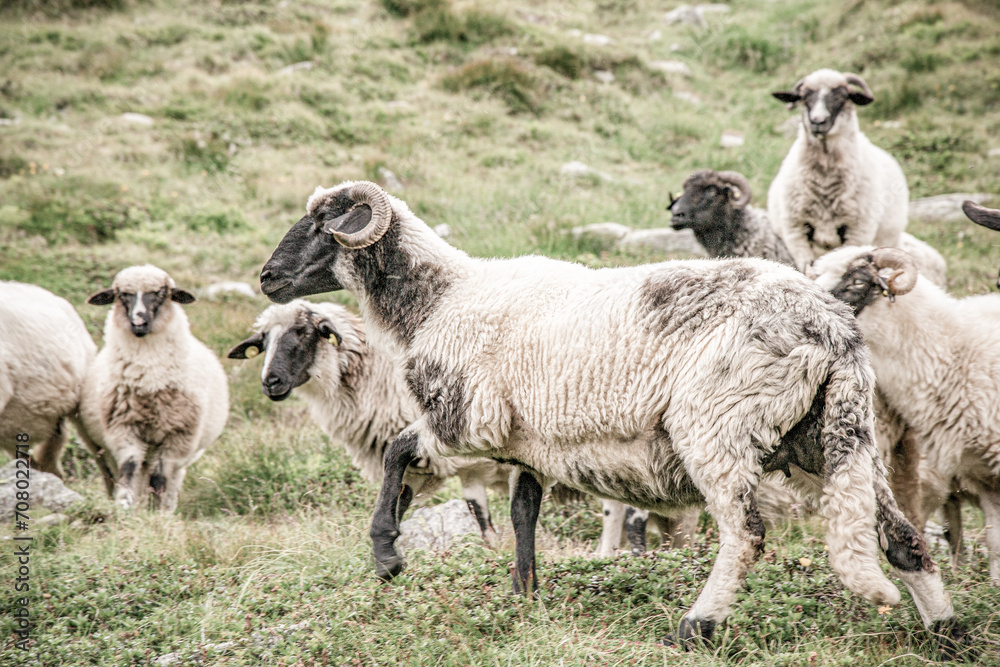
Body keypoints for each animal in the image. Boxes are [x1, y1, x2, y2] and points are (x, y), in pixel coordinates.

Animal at [79, 265, 229, 513]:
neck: (149, 376)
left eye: (160, 292)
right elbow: (129, 466)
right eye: (122, 294)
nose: (138, 322)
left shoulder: (176, 438)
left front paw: (156, 512)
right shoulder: (123, 428)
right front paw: (125, 503)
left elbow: (159, 478)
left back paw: (164, 508)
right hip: (103, 448)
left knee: (167, 480)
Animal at [257, 180, 962, 648]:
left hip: (720, 425)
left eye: (322, 223)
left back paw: (697, 626)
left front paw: (387, 553)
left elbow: (399, 452)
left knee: (748, 534)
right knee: (903, 538)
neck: (436, 299)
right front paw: (525, 595)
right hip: (833, 434)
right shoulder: (527, 442)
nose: (266, 277)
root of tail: (831, 325)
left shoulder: (465, 420)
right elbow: (524, 511)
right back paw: (945, 631)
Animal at [768, 69, 910, 272]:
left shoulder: (856, 232)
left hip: (887, 237)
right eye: (804, 97)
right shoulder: (796, 231)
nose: (817, 121)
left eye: (843, 96)